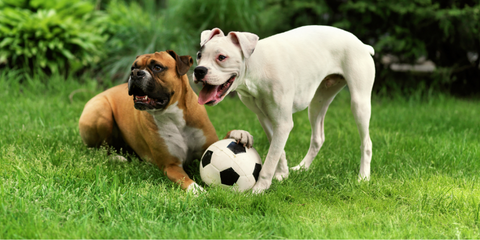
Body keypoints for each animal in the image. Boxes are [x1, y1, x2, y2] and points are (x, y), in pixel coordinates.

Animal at [79, 50, 220, 193]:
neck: (174, 117)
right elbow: (187, 181)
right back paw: (117, 158)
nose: (135, 73)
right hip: (102, 110)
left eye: (157, 67)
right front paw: (200, 192)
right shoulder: (171, 165)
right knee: (100, 149)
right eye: (133, 68)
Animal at [193, 25, 376, 193]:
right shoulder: (266, 119)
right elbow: (278, 151)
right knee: (318, 138)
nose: (199, 70)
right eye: (199, 56)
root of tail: (362, 45)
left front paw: (258, 190)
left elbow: (270, 159)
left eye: (222, 57)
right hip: (317, 104)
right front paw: (282, 175)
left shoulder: (283, 123)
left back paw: (363, 177)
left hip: (359, 104)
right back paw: (302, 168)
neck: (257, 68)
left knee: (366, 143)